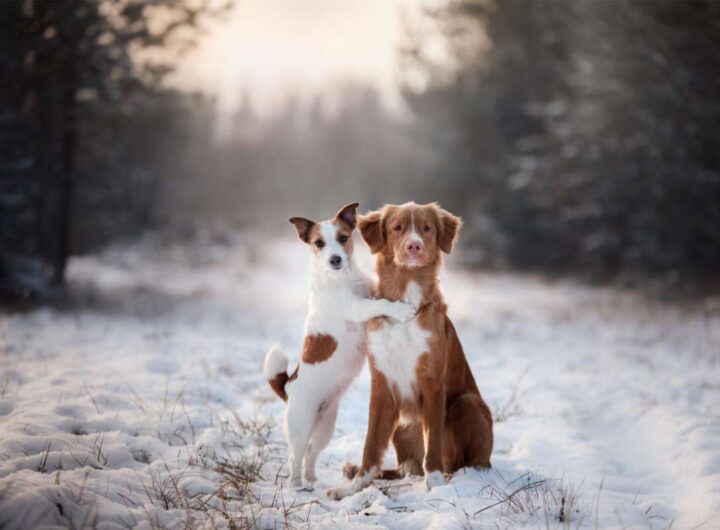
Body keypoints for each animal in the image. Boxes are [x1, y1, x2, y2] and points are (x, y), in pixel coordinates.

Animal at [262, 202, 416, 486]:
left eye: (343, 238)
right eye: (319, 243)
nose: (335, 259)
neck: (342, 278)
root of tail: (288, 388)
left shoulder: (368, 291)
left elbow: (377, 294)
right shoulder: (357, 308)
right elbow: (379, 304)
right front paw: (401, 310)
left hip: (326, 426)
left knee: (312, 452)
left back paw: (312, 481)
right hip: (300, 426)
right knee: (295, 457)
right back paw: (296, 485)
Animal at [328, 200, 492, 498]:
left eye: (426, 228)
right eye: (397, 228)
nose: (414, 245)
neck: (406, 302)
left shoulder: (432, 381)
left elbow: (434, 444)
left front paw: (435, 483)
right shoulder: (381, 384)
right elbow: (371, 444)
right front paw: (354, 487)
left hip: (468, 404)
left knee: (460, 461)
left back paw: (454, 476)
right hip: (402, 427)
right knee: (403, 466)